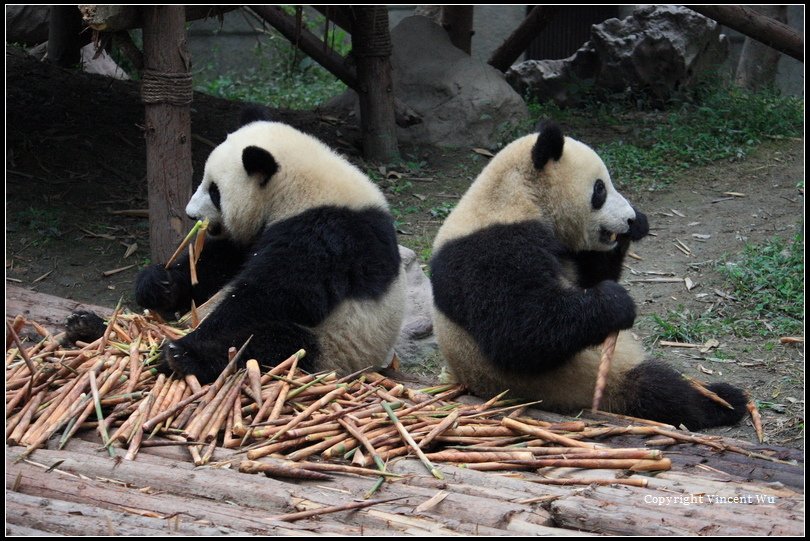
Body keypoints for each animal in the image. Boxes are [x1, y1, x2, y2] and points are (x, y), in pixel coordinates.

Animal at [121, 107, 402, 382]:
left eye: (214, 191)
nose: (191, 214)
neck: (300, 188)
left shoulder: (325, 234)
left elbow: (274, 294)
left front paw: (189, 342)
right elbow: (220, 262)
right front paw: (159, 282)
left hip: (334, 346)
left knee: (267, 343)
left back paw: (184, 356)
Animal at [430, 122, 744, 430]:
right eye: (600, 189)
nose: (628, 218)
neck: (515, 196)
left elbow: (588, 279)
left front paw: (636, 227)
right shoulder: (489, 248)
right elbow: (517, 331)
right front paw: (616, 302)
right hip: (585, 380)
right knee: (657, 388)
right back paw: (723, 401)